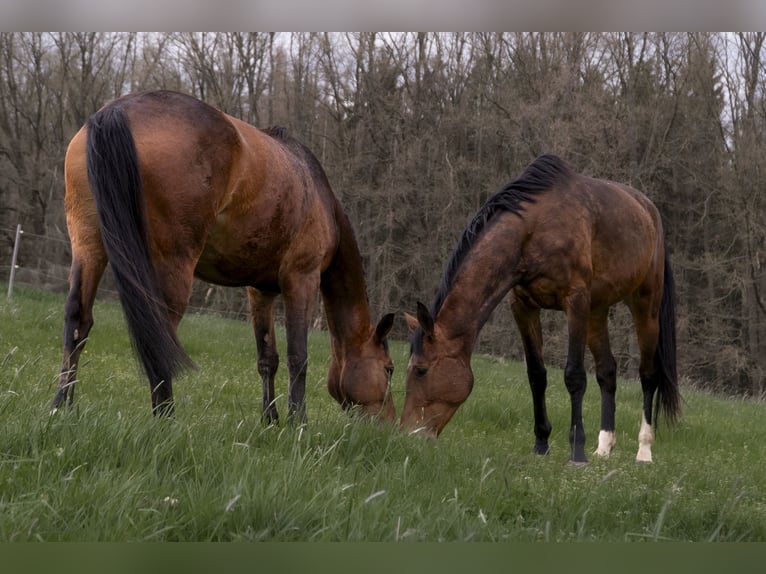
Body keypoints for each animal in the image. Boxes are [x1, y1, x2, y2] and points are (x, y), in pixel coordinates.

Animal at [55, 89, 396, 424]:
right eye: (389, 369)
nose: (390, 424)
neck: (321, 198)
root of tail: (117, 111)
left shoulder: (261, 292)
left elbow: (267, 357)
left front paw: (269, 420)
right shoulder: (302, 278)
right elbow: (298, 357)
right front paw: (298, 423)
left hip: (88, 243)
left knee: (79, 319)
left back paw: (62, 406)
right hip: (173, 263)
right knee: (159, 332)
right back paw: (165, 419)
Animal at [404, 155, 680, 466]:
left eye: (421, 371)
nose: (408, 434)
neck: (533, 231)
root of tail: (649, 211)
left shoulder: (575, 301)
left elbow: (574, 376)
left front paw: (577, 452)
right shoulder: (523, 307)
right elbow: (536, 375)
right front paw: (541, 443)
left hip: (645, 306)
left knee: (648, 374)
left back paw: (643, 451)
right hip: (596, 312)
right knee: (607, 371)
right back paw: (604, 447)